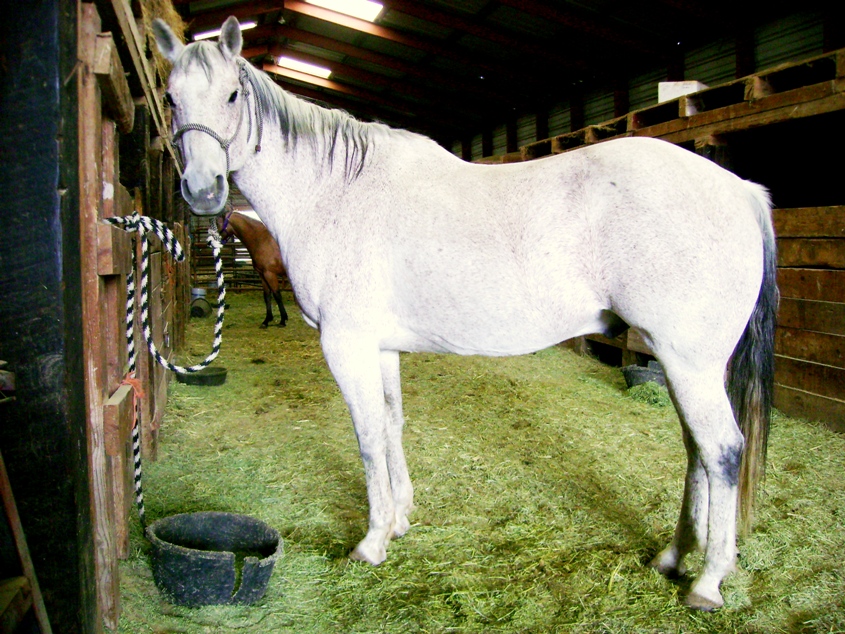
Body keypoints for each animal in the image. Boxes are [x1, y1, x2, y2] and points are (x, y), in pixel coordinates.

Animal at [153, 14, 780, 608]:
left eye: (233, 94)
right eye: (171, 96)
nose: (204, 191)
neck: (335, 191)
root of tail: (742, 191)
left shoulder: (345, 343)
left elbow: (367, 434)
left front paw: (372, 541)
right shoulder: (381, 346)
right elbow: (392, 423)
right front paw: (400, 519)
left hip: (689, 361)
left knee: (722, 451)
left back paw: (708, 581)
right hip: (681, 363)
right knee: (697, 452)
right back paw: (672, 556)